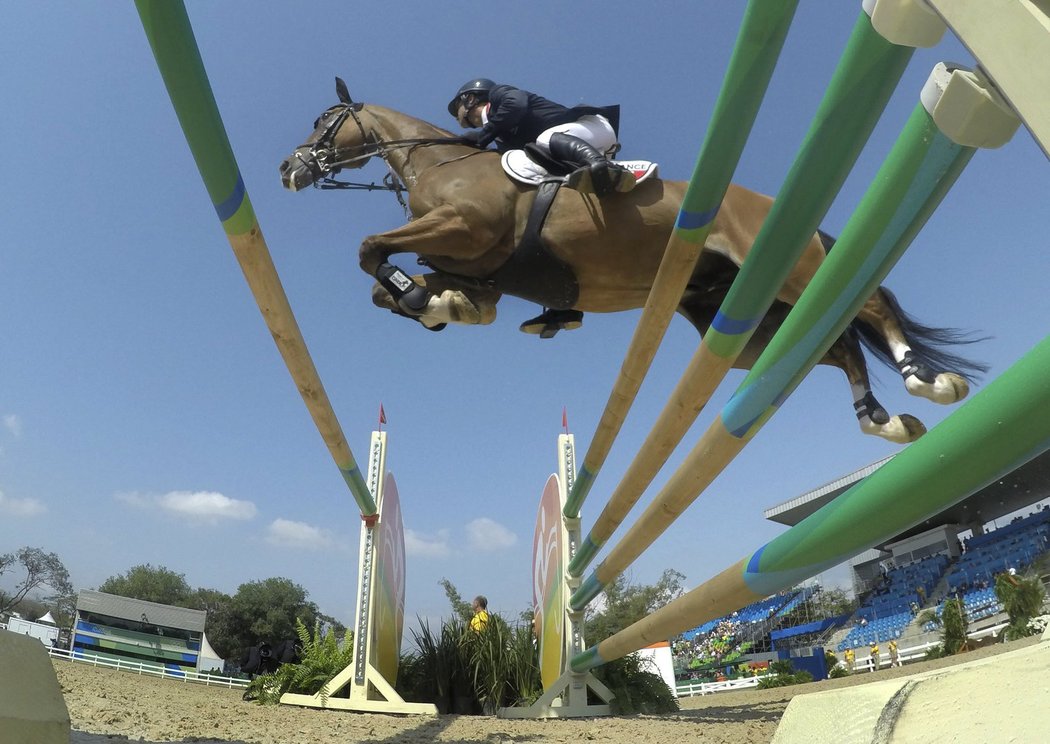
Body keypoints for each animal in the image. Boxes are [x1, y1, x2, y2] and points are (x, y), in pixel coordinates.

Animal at [277, 79, 982, 444]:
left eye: (323, 119)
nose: (288, 167)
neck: (439, 161)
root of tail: (777, 209)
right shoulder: (476, 266)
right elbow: (398, 284)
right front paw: (442, 305)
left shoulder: (463, 225)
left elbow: (370, 251)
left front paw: (425, 300)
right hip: (735, 318)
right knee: (830, 347)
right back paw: (881, 419)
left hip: (789, 269)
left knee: (870, 308)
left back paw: (927, 381)